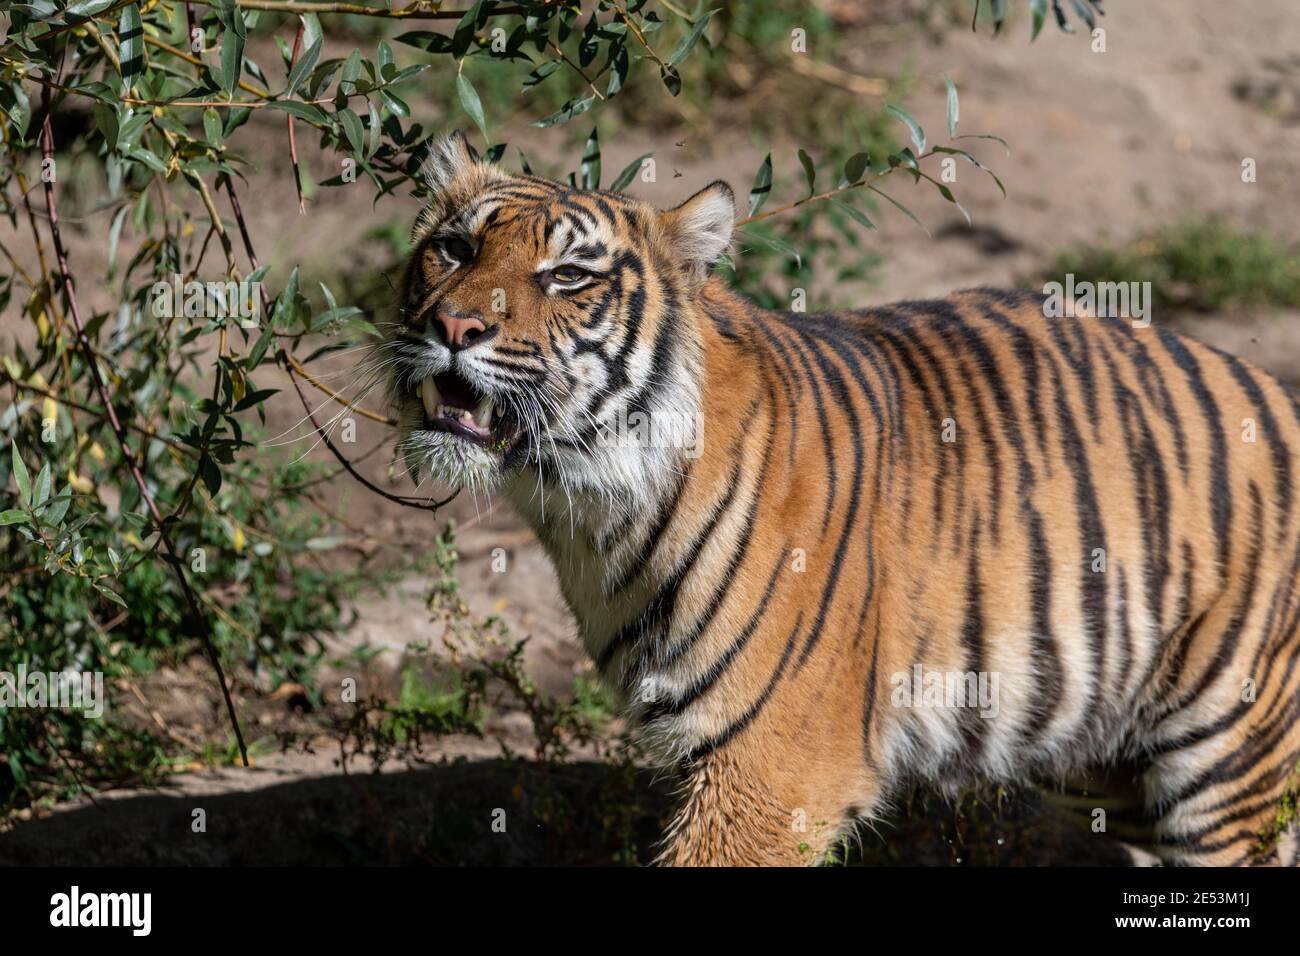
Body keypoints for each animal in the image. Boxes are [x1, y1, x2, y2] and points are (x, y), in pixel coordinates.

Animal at [382, 130, 1300, 866]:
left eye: (569, 275)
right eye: (454, 248)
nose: (454, 327)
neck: (587, 509)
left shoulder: (771, 770)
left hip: (1224, 764)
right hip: (1112, 762)